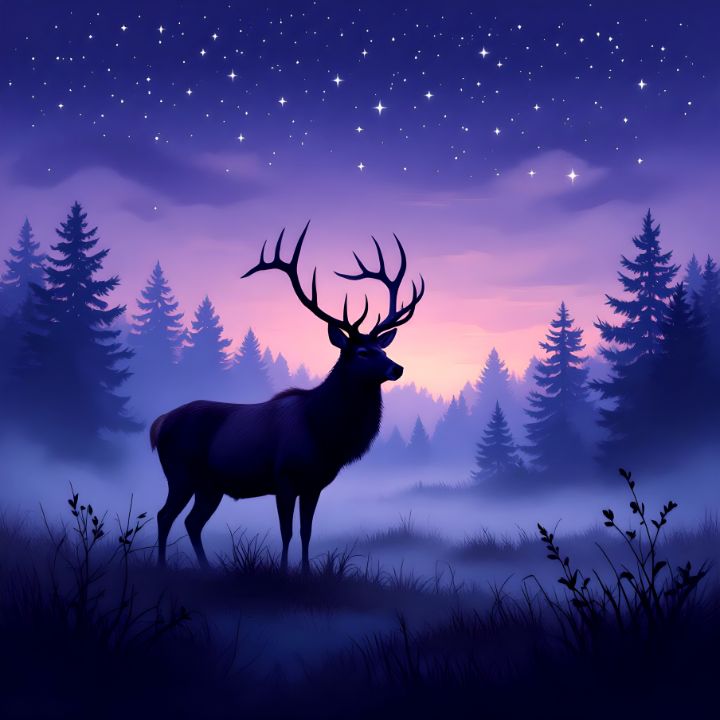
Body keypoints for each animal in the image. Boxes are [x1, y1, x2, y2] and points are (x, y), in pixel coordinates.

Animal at [151, 222, 424, 572]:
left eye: (384, 349)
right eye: (362, 352)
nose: (397, 368)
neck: (324, 432)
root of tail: (159, 424)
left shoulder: (314, 483)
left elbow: (307, 532)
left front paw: (306, 572)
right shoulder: (284, 478)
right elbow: (286, 532)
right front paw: (282, 571)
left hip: (209, 485)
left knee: (192, 522)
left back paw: (206, 569)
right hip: (181, 472)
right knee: (165, 516)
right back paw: (162, 567)